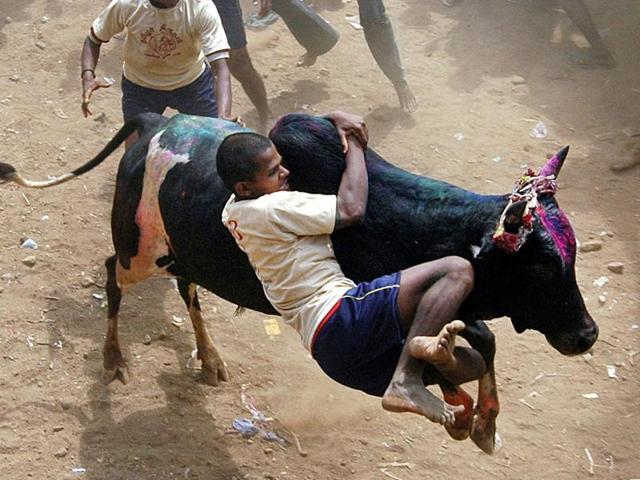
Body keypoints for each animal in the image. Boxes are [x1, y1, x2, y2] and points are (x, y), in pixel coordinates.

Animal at [0, 113, 596, 454]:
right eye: (543, 267)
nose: (586, 334)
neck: (415, 221)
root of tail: (150, 123)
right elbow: (472, 343)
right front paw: (468, 413)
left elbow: (480, 342)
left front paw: (478, 419)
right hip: (139, 249)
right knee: (112, 273)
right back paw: (114, 357)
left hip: (178, 252)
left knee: (187, 288)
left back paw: (209, 358)